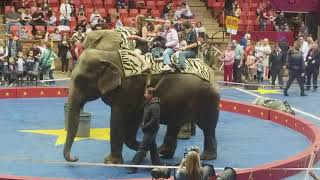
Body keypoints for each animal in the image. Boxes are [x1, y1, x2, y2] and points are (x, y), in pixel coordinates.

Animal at [63, 29, 220, 165]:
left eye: (80, 80)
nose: (76, 158)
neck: (108, 56)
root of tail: (212, 73)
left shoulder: (129, 88)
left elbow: (118, 118)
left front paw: (110, 162)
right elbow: (132, 121)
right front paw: (144, 148)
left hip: (206, 98)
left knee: (207, 127)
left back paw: (206, 156)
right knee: (175, 123)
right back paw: (164, 152)